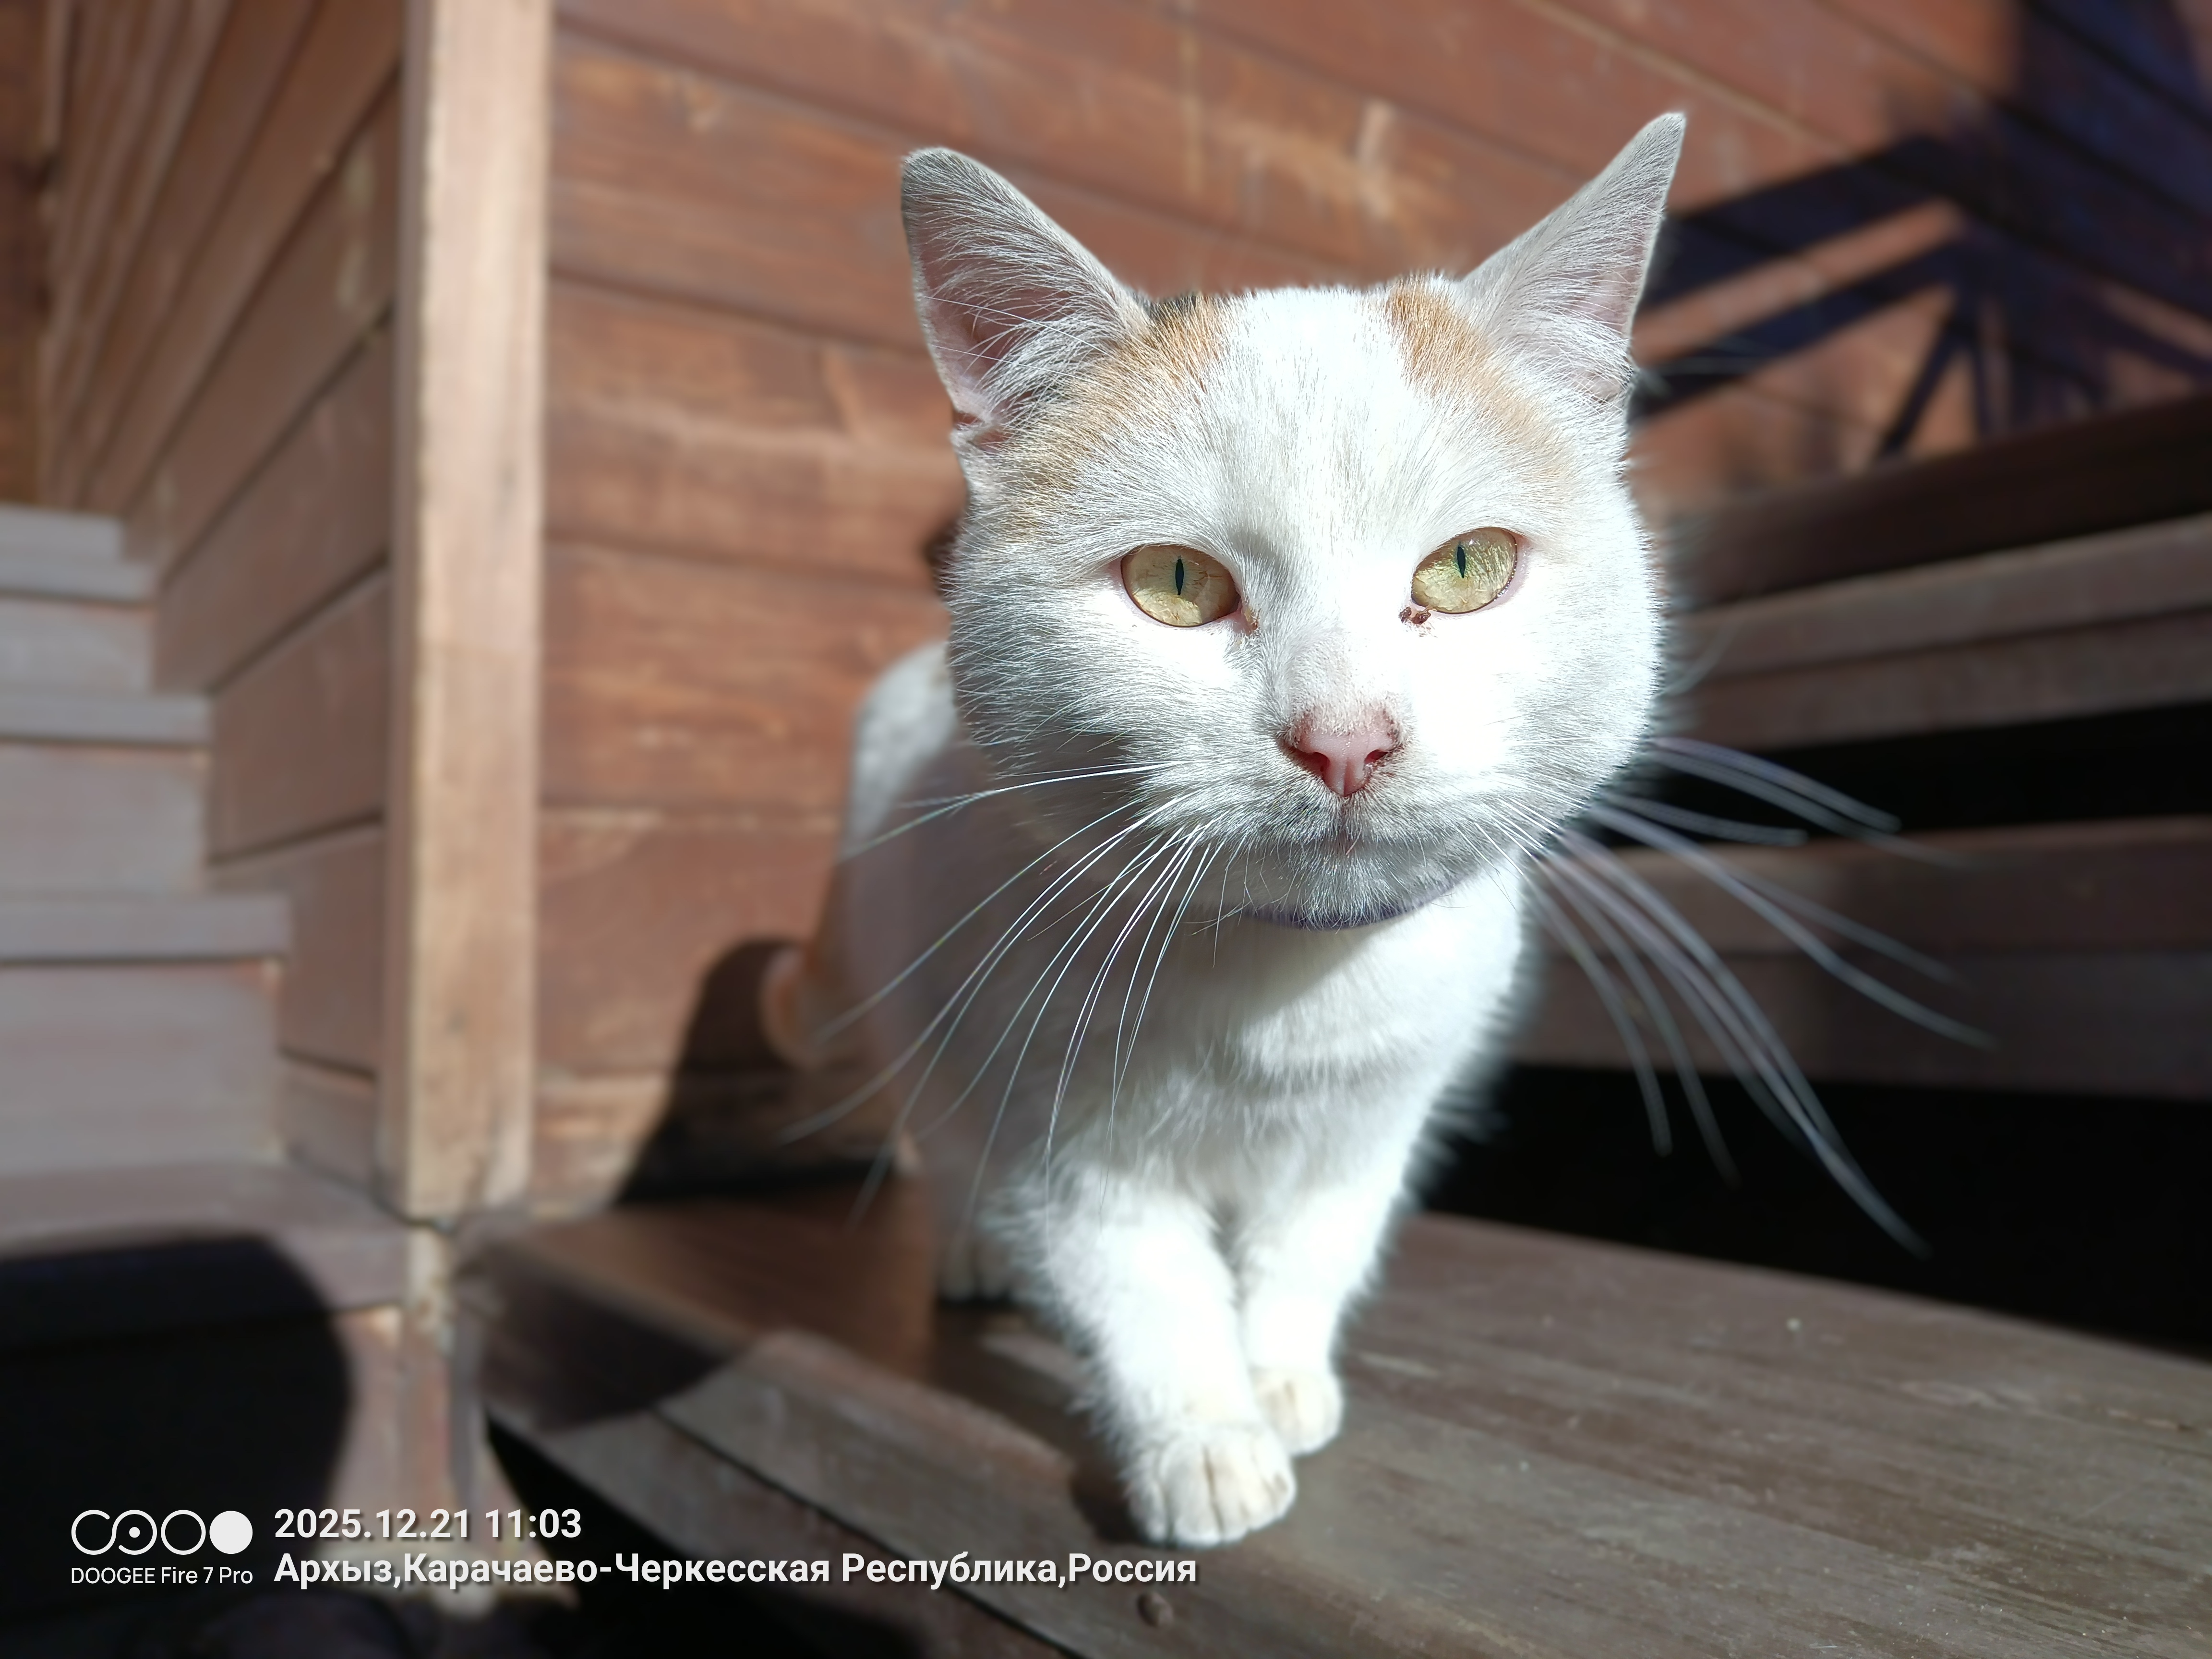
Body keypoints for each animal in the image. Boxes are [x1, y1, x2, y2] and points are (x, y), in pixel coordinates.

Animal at [763, 116, 1690, 1547]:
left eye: (1466, 568)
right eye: (1176, 582)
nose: (1346, 736)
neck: (1287, 984)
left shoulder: (1377, 1119)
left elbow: (1312, 1248)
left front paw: (1283, 1376)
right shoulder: (1062, 1139)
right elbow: (1146, 1290)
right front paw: (1204, 1443)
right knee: (943, 1140)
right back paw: (974, 1252)